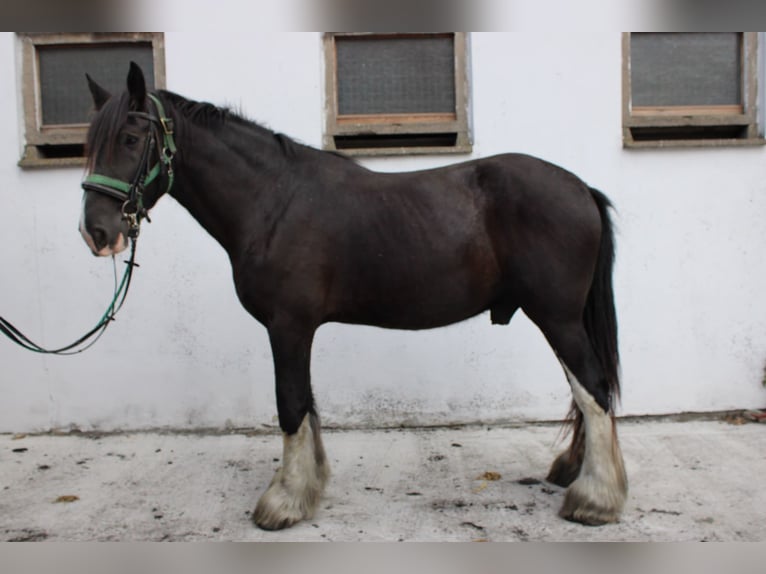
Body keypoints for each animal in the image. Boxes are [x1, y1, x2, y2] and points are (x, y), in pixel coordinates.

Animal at [79, 62, 627, 530]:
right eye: (89, 143)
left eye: (130, 138)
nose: (96, 232)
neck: (273, 200)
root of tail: (581, 188)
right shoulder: (296, 329)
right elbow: (307, 402)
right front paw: (308, 487)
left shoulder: (288, 325)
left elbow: (290, 403)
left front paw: (283, 502)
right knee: (584, 389)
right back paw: (574, 472)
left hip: (557, 317)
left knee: (593, 388)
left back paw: (595, 499)